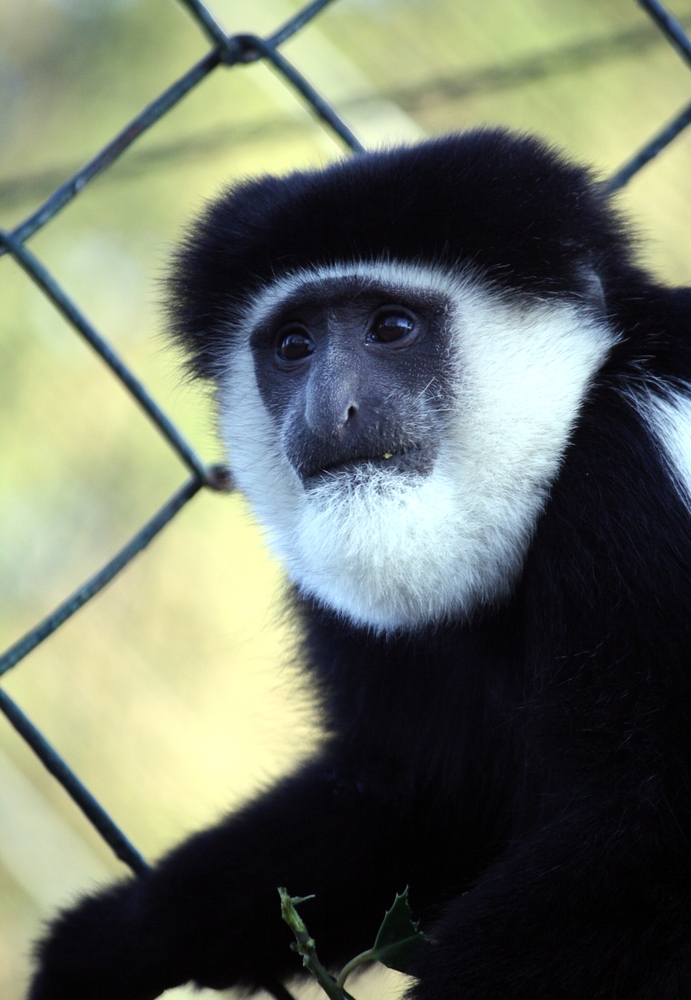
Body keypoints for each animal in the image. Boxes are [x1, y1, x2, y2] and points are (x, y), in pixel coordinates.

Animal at [29, 135, 691, 1000]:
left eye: (391, 326)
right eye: (293, 346)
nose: (328, 410)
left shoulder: (636, 469)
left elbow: (649, 827)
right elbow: (410, 802)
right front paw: (102, 944)